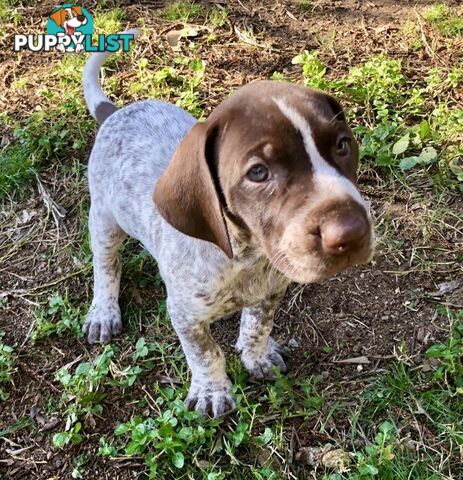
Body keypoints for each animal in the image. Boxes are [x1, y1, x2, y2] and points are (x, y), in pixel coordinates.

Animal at [81, 31, 376, 418]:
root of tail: (116, 112)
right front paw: (212, 391)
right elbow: (205, 353)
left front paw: (257, 355)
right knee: (106, 264)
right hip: (104, 217)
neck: (245, 256)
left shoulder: (271, 289)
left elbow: (257, 325)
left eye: (343, 145)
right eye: (258, 172)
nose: (351, 232)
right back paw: (103, 310)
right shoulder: (183, 313)